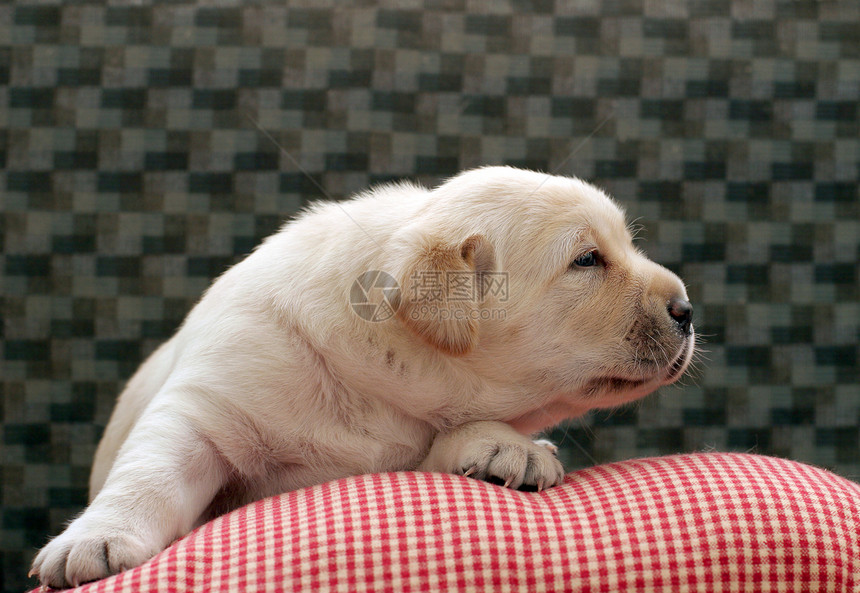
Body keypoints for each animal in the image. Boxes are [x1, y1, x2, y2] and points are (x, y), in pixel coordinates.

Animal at [31, 166, 692, 588]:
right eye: (587, 260)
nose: (687, 309)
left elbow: (442, 440)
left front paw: (507, 446)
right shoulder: (207, 405)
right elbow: (152, 470)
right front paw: (96, 539)